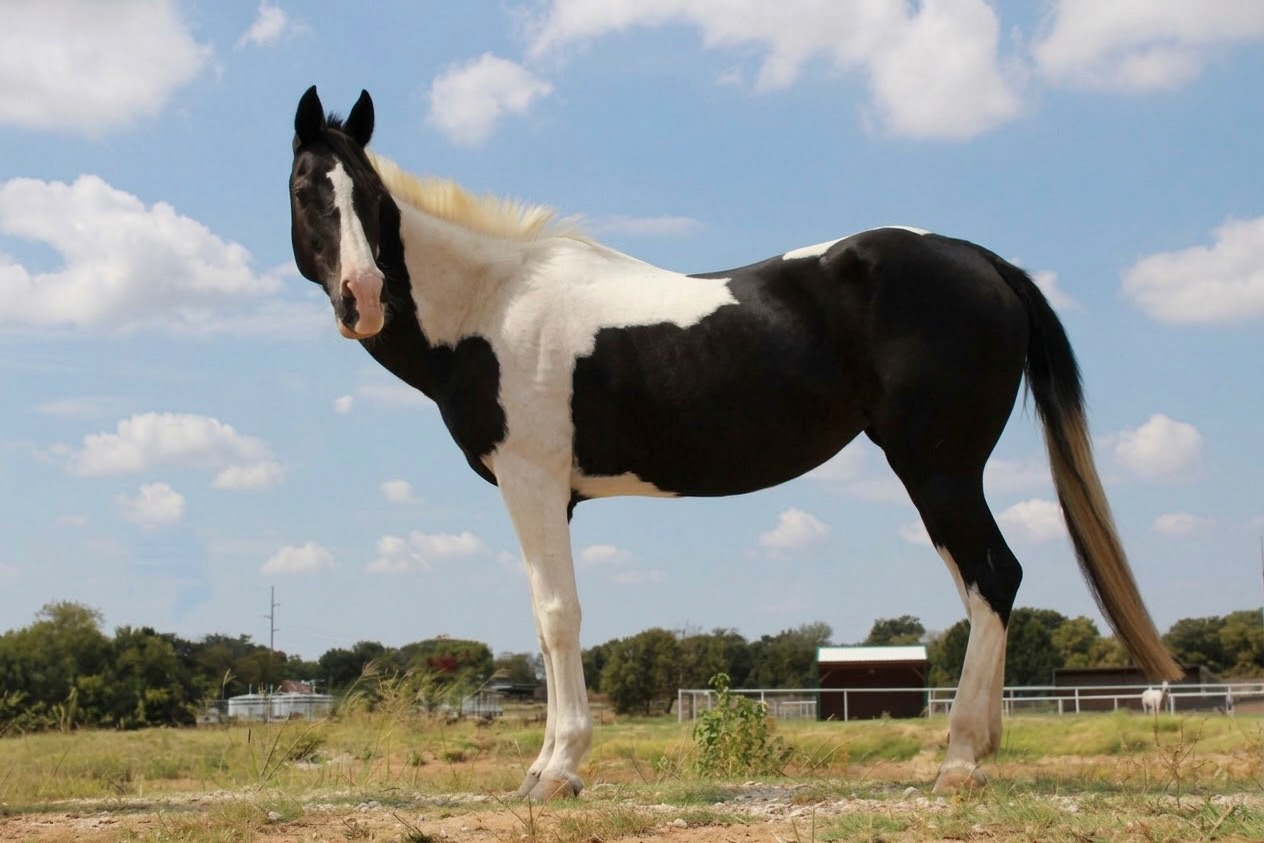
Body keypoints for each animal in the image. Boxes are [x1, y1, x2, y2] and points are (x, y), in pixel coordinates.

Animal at [288, 86, 1182, 798]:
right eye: (306, 189)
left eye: (370, 194)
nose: (363, 297)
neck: (493, 306)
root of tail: (985, 263)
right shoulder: (544, 493)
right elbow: (547, 623)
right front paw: (547, 762)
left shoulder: (532, 481)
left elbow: (558, 614)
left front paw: (558, 770)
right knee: (984, 583)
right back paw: (980, 746)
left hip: (939, 466)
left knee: (993, 576)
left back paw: (959, 759)